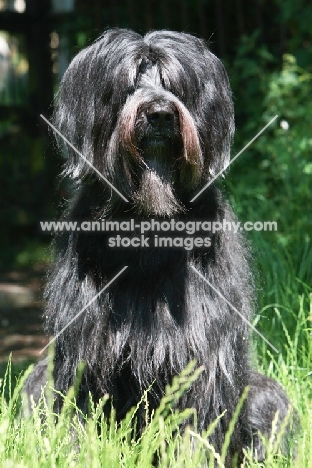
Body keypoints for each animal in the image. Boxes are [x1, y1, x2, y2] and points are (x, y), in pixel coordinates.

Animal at [23, 28, 292, 464]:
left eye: (175, 85)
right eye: (129, 84)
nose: (162, 114)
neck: (149, 223)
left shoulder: (201, 354)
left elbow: (196, 426)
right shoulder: (84, 353)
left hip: (263, 397)